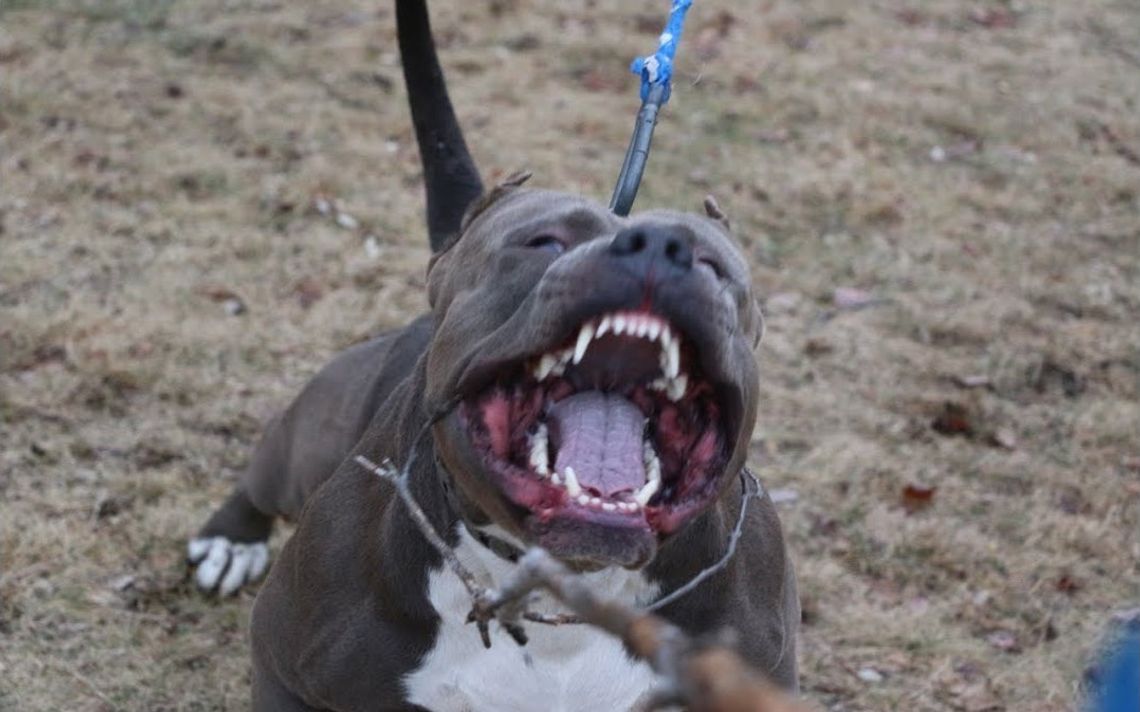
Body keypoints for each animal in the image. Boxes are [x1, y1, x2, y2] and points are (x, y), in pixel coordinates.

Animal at [186, 2, 798, 706]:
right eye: (544, 242)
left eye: (713, 266)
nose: (659, 246)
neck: (564, 590)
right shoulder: (284, 666)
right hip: (310, 439)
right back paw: (231, 538)